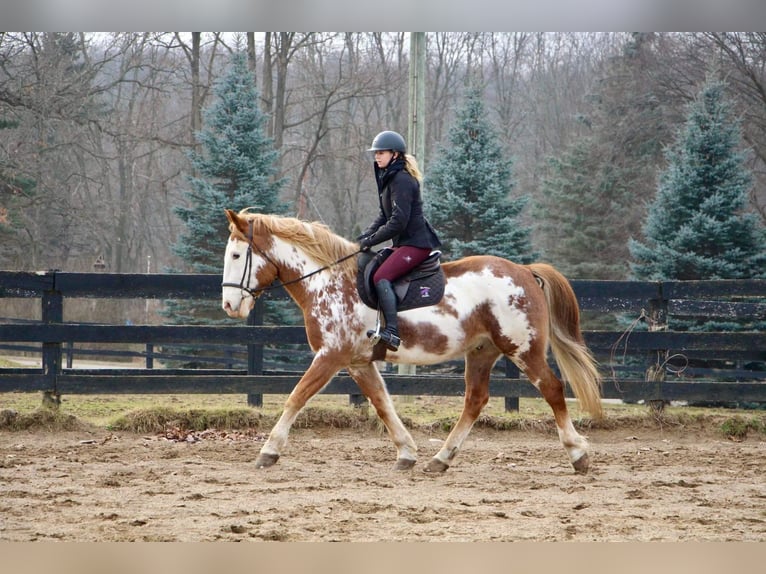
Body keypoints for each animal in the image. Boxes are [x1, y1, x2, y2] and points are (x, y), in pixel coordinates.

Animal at [219, 209, 604, 474]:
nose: (229, 305)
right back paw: (440, 459)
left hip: (522, 348)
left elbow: (296, 398)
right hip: (482, 352)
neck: (329, 282)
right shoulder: (358, 363)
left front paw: (268, 451)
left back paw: (578, 454)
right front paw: (406, 453)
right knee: (475, 401)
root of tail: (524, 271)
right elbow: (382, 404)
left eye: (236, 256)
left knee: (552, 389)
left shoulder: (331, 356)